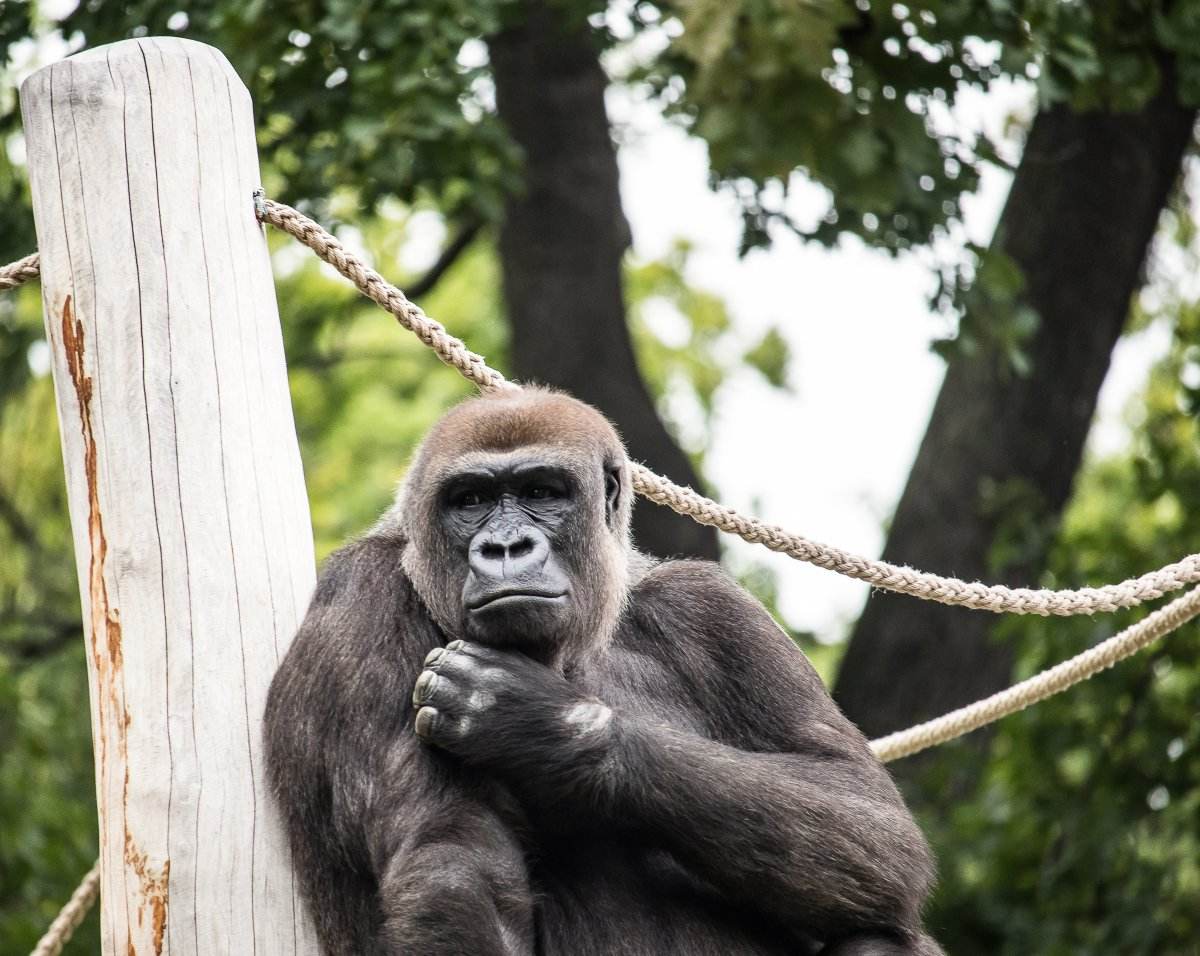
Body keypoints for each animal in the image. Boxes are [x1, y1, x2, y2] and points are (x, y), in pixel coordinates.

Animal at [265, 383, 945, 950]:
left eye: (541, 493)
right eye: (470, 500)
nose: (505, 548)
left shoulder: (716, 610)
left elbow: (867, 815)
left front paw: (549, 725)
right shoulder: (364, 594)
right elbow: (453, 864)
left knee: (874, 930)